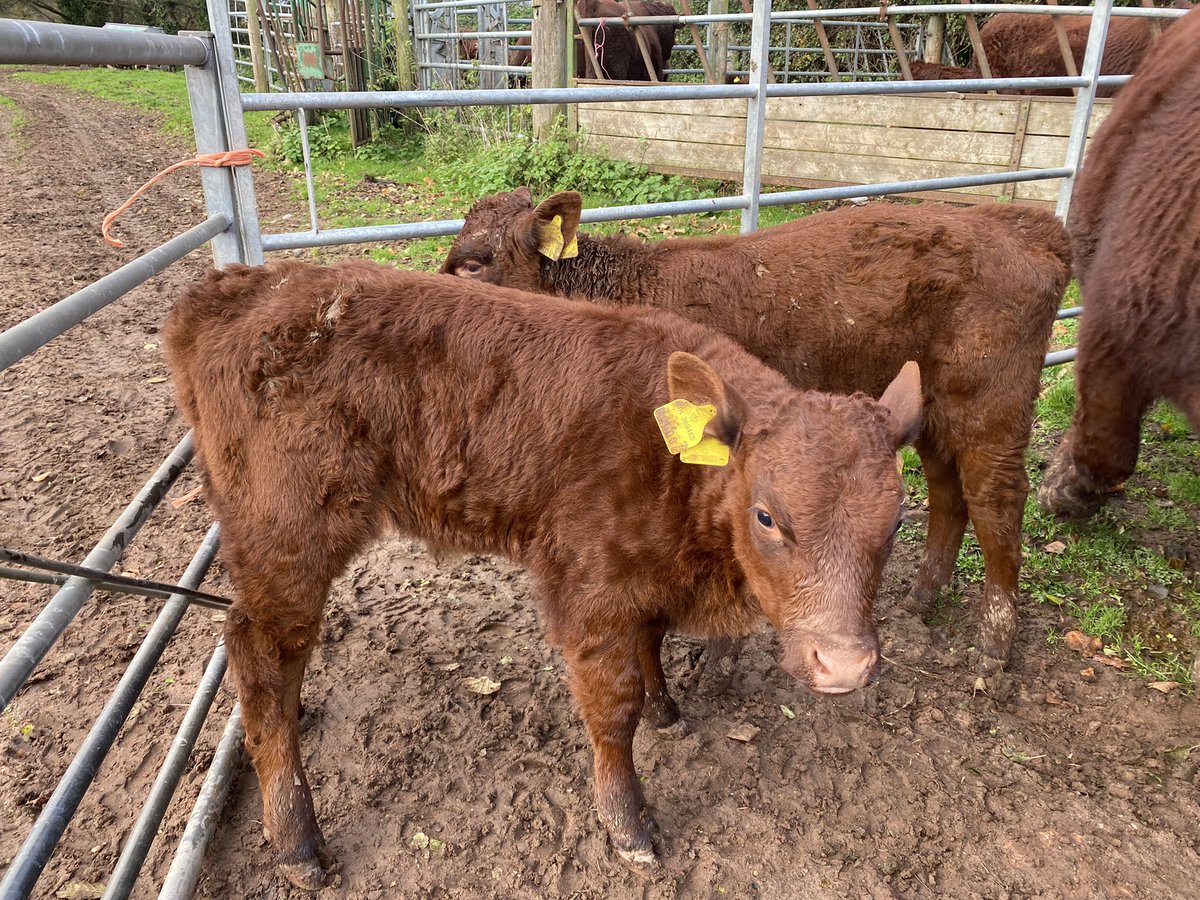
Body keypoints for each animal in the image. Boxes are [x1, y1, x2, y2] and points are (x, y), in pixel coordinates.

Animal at [165, 260, 922, 889]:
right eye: (767, 515)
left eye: (895, 522)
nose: (844, 665)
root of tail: (240, 286)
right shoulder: (587, 587)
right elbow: (612, 708)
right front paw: (629, 825)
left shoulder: (642, 580)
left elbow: (650, 645)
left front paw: (668, 709)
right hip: (288, 541)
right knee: (262, 654)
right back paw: (297, 842)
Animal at [441, 191, 1072, 672]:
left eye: (473, 262)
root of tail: (1019, 221)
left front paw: (718, 654)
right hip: (929, 411)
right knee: (948, 493)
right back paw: (922, 597)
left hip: (992, 404)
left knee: (996, 499)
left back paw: (994, 642)